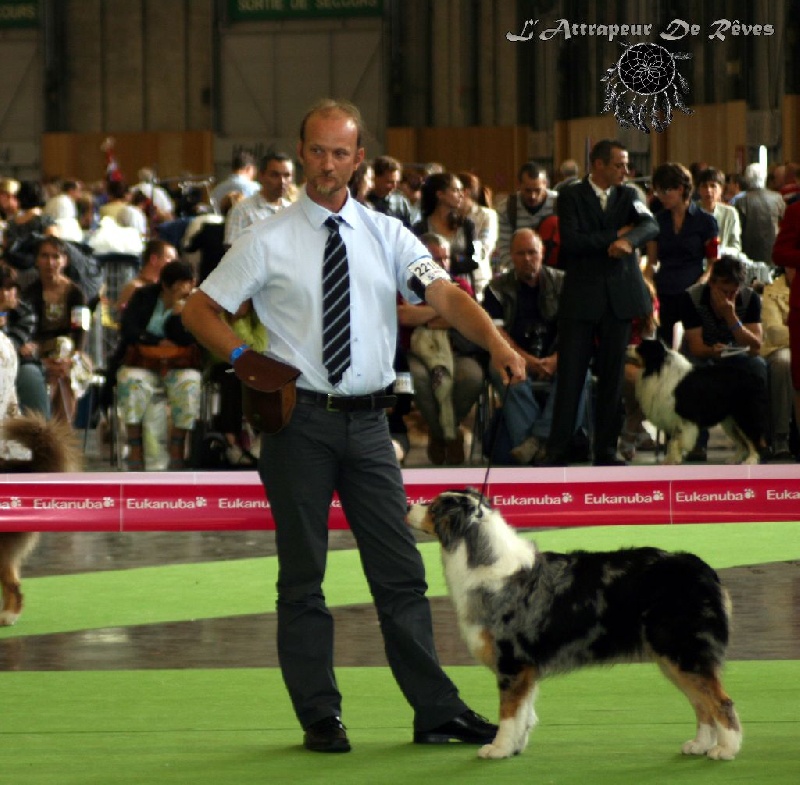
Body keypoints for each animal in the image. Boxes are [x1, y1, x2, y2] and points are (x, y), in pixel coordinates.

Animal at [407, 489, 742, 761]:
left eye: (433, 507)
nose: (408, 505)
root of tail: (703, 569)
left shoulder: (512, 662)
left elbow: (509, 713)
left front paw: (498, 749)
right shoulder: (526, 668)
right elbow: (524, 713)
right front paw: (515, 747)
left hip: (682, 650)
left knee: (720, 702)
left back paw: (725, 750)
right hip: (672, 657)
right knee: (702, 703)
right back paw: (700, 745)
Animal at [633, 339, 766, 464]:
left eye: (640, 348)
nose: (629, 347)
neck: (658, 369)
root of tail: (755, 378)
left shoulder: (682, 417)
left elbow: (676, 440)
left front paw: (673, 460)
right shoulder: (668, 417)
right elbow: (671, 441)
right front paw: (669, 460)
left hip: (744, 416)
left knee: (753, 438)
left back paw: (751, 460)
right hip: (730, 421)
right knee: (741, 442)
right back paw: (734, 459)